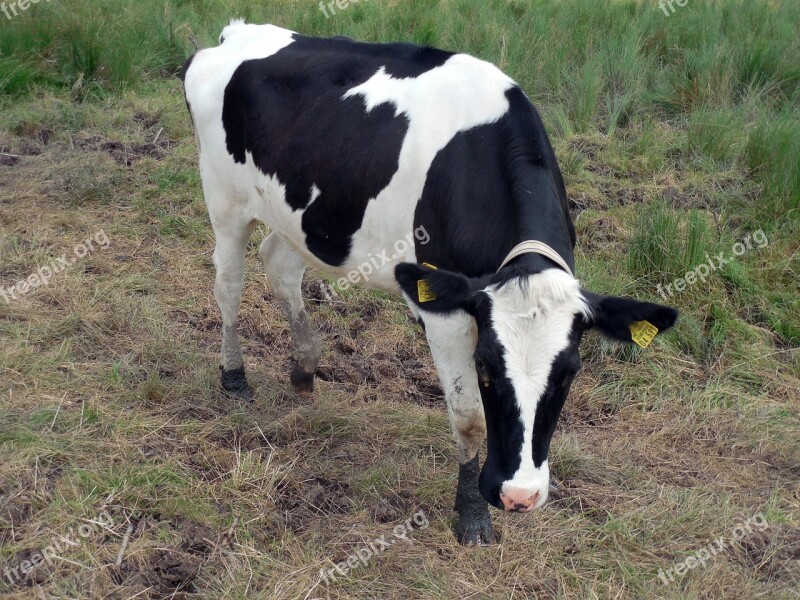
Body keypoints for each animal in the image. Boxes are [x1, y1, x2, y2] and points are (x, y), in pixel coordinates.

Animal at [181, 19, 676, 544]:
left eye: (569, 373)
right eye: (485, 367)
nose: (519, 496)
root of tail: (238, 33)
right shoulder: (447, 316)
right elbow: (470, 418)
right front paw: (472, 514)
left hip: (299, 215)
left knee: (279, 263)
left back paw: (305, 367)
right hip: (224, 199)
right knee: (229, 282)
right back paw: (234, 375)